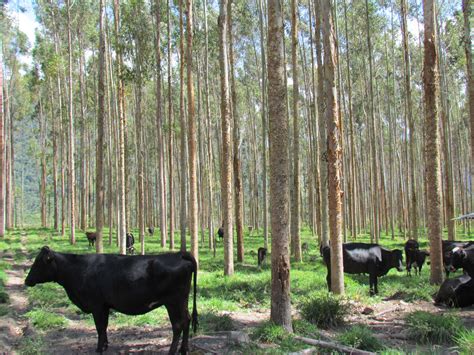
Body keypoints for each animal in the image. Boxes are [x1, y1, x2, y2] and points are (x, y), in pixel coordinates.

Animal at [23, 246, 198, 354]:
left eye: (39, 263)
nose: (27, 280)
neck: (78, 269)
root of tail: (178, 254)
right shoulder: (105, 305)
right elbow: (104, 326)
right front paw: (105, 345)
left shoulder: (97, 305)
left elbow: (100, 327)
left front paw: (99, 348)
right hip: (182, 301)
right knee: (187, 320)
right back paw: (184, 349)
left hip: (173, 301)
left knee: (178, 325)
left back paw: (172, 351)